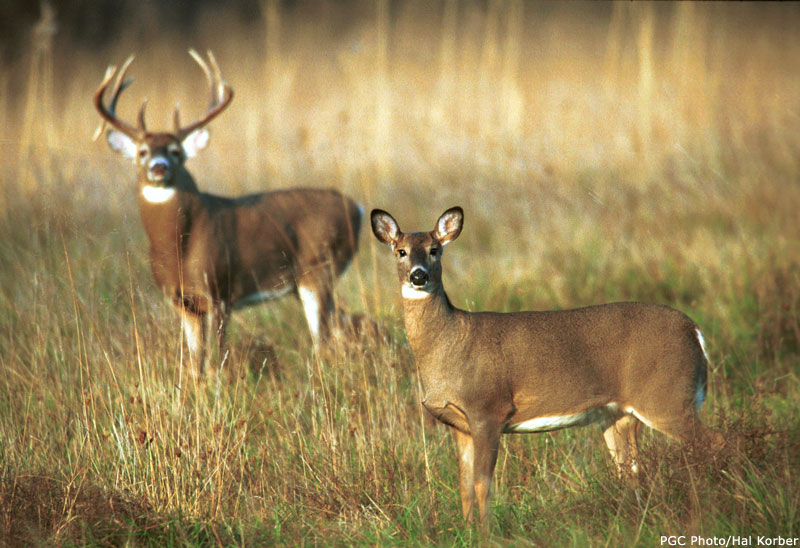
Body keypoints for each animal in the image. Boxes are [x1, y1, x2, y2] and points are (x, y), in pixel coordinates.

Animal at [93, 51, 362, 374]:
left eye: (175, 151)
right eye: (142, 151)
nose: (159, 167)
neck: (178, 248)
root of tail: (357, 208)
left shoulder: (220, 289)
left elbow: (214, 361)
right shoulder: (183, 302)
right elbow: (194, 363)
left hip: (318, 269)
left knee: (327, 340)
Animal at [372, 207, 720, 532]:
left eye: (435, 249)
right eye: (400, 251)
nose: (418, 276)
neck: (450, 343)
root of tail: (694, 330)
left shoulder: (488, 409)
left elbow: (483, 482)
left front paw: (487, 534)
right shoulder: (460, 425)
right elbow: (464, 487)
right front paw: (469, 531)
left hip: (667, 398)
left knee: (713, 442)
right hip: (621, 414)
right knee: (631, 469)